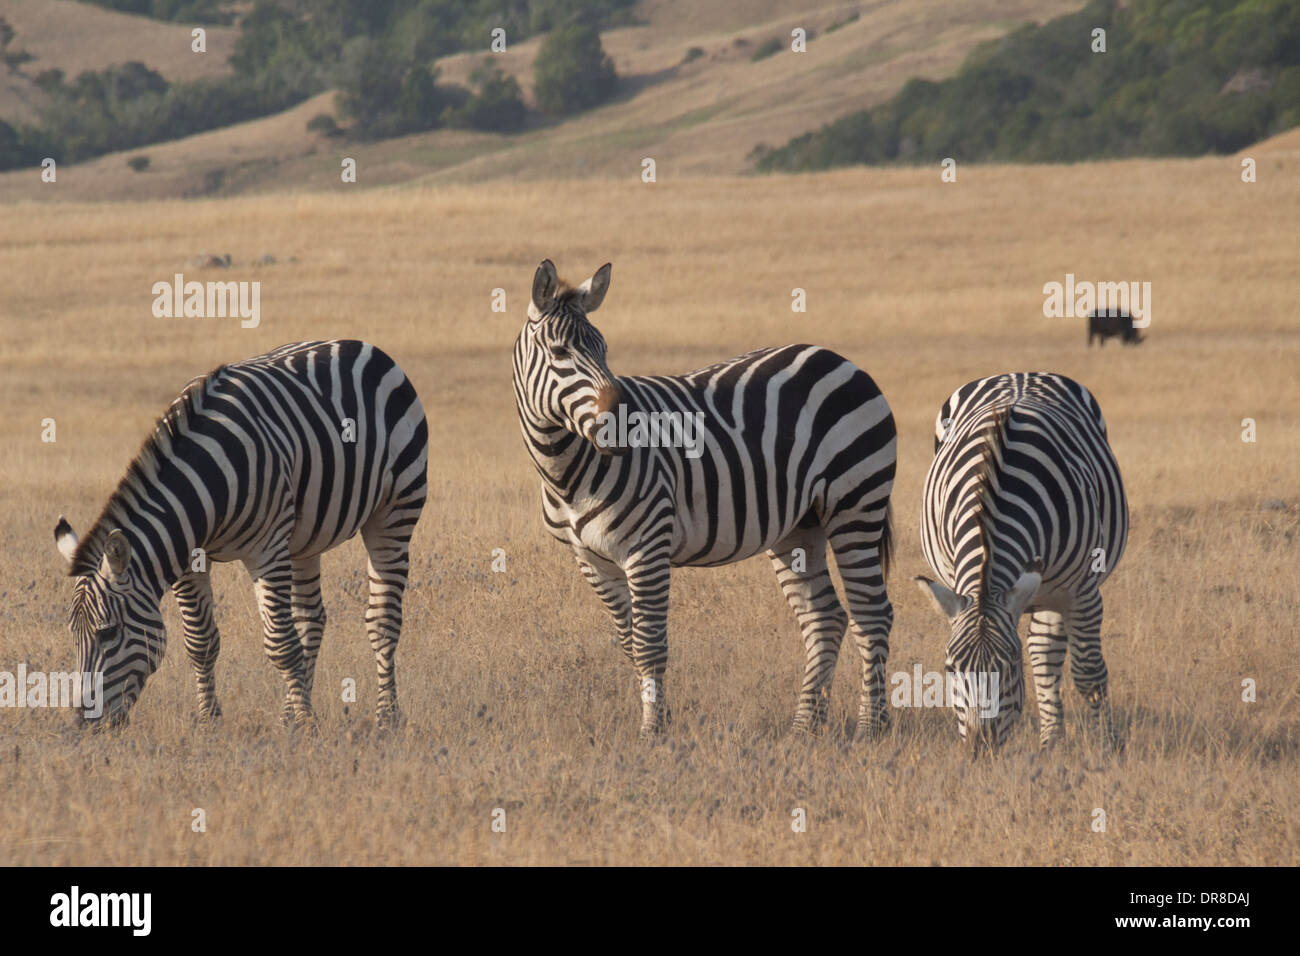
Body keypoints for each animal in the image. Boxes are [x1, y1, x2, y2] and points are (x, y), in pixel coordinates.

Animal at [52, 340, 426, 728]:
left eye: (108, 633)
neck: (206, 483)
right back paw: (290, 713)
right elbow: (200, 642)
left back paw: (386, 717)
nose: (81, 722)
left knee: (382, 618)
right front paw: (210, 721)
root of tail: (360, 345)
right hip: (304, 539)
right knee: (310, 620)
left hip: (395, 511)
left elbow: (280, 644)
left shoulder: (268, 550)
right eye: (73, 635)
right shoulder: (188, 561)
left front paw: (307, 725)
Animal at [512, 257, 899, 738]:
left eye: (604, 350)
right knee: (825, 618)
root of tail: (839, 358)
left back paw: (871, 727)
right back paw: (804, 728)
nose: (627, 422)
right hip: (799, 527)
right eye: (561, 353)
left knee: (872, 614)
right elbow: (629, 642)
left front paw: (653, 732)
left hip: (856, 505)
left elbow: (650, 644)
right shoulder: (590, 561)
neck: (567, 476)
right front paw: (658, 718)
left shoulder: (648, 547)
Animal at [915, 374, 1128, 754]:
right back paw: (1051, 742)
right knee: (1044, 654)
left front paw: (1107, 748)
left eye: (1011, 667)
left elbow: (1089, 674)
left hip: (1053, 589)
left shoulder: (1082, 590)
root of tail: (1017, 375)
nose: (980, 748)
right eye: (951, 668)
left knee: (1045, 656)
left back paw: (1053, 741)